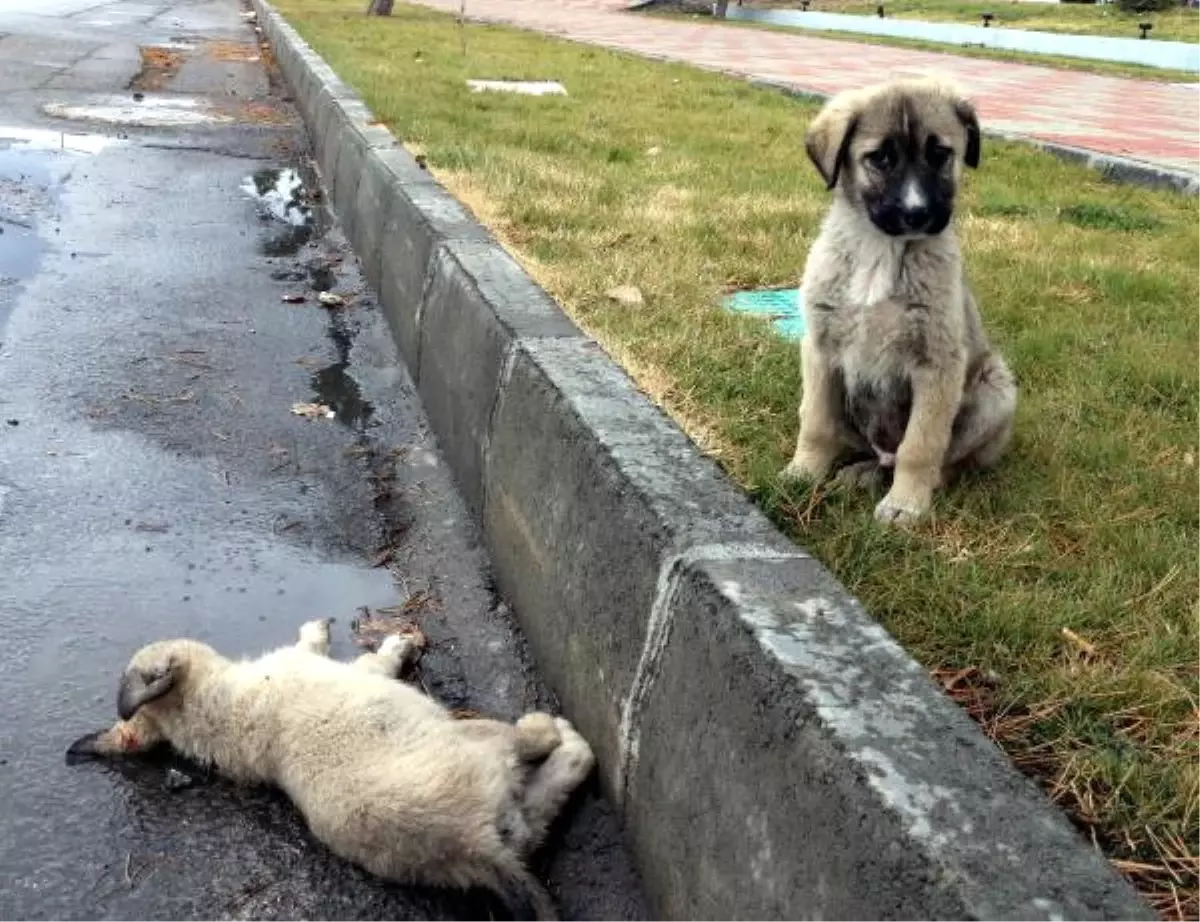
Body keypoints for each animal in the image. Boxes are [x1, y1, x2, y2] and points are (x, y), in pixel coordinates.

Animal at [68, 619, 592, 922]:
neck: (209, 711)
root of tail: (473, 846)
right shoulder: (359, 671)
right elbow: (373, 657)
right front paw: (394, 642)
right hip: (475, 739)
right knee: (535, 749)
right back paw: (561, 735)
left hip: (512, 821)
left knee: (546, 801)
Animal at [777, 75, 1022, 523]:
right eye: (880, 158)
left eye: (940, 154)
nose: (917, 214)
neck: (881, 251)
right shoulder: (821, 348)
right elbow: (816, 422)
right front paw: (803, 473)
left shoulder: (938, 364)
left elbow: (921, 445)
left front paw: (906, 503)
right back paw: (861, 472)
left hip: (996, 388)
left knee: (940, 463)